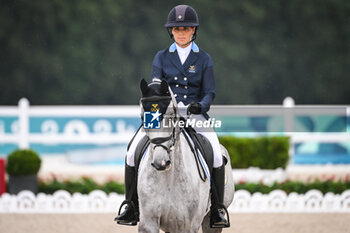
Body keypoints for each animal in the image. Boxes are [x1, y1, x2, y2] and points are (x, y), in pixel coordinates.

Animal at [138, 79, 234, 232]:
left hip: (210, 221)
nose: (161, 162)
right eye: (143, 117)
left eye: (171, 116)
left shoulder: (187, 225)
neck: (168, 178)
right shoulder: (149, 223)